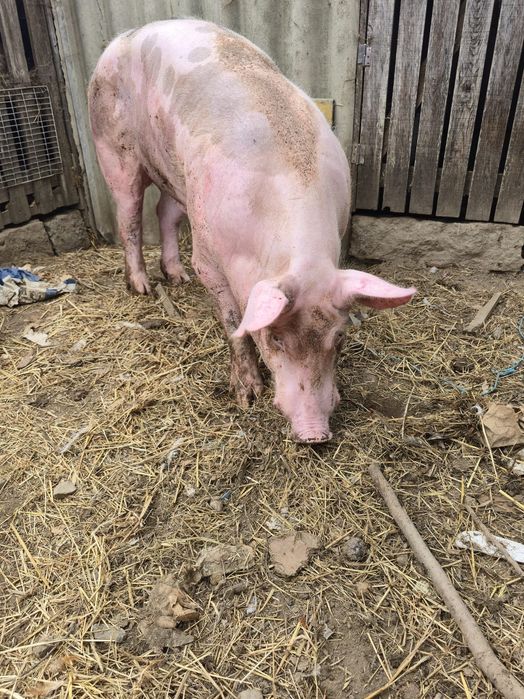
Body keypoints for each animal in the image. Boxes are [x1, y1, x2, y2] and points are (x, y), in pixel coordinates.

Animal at [88, 19, 416, 443]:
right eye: (274, 338)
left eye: (340, 338)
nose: (314, 434)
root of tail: (122, 37)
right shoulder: (210, 260)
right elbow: (232, 322)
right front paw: (246, 396)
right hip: (112, 145)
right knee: (127, 215)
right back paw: (142, 286)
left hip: (182, 181)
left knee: (164, 212)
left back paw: (177, 278)